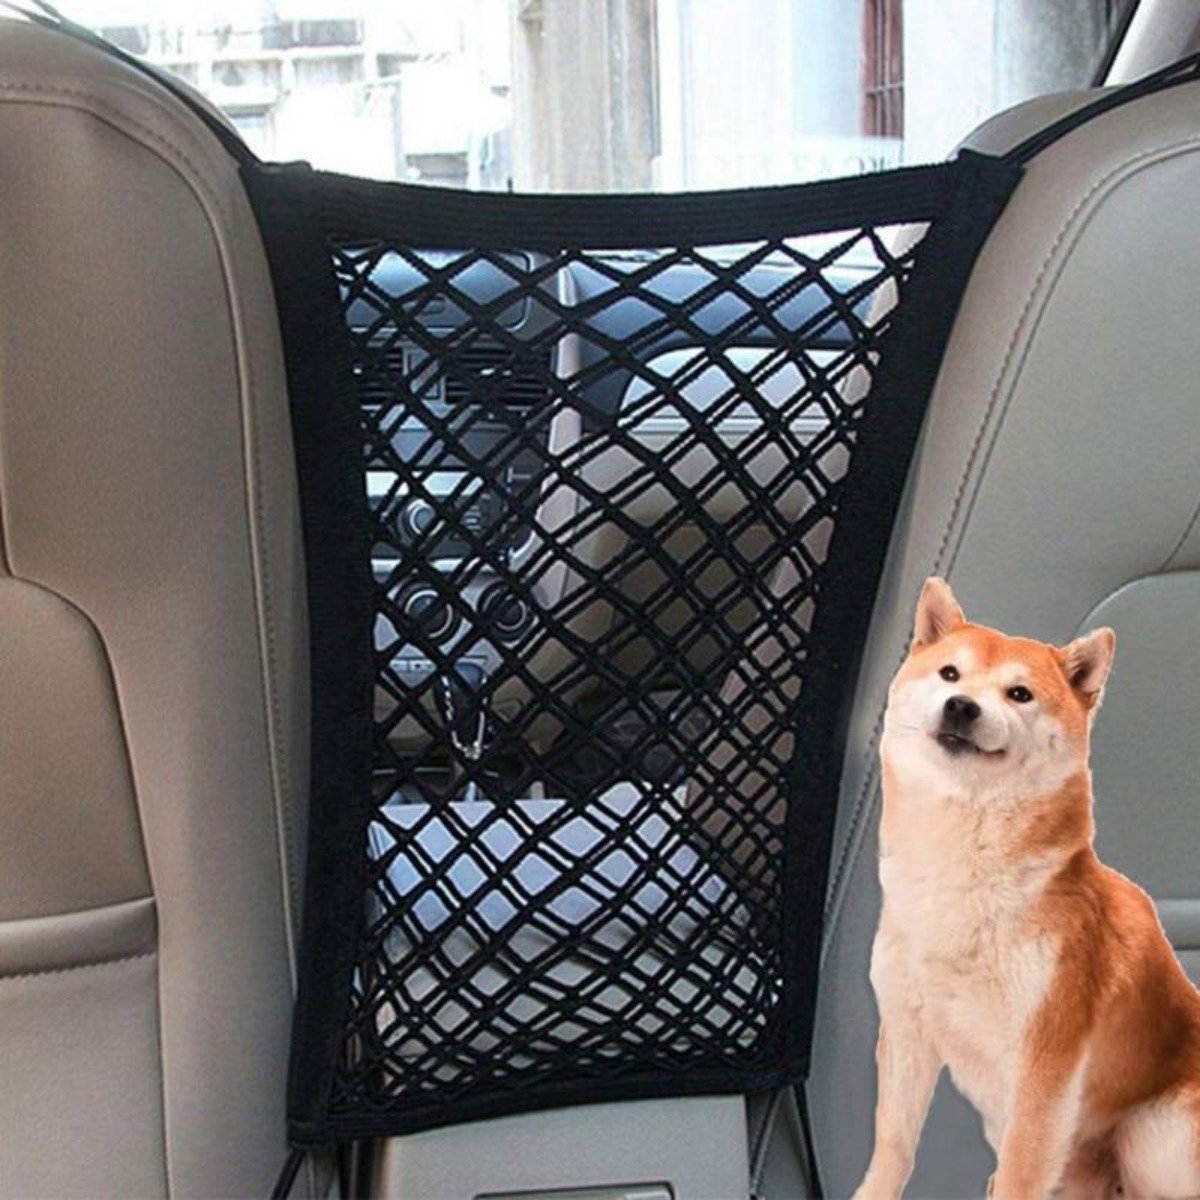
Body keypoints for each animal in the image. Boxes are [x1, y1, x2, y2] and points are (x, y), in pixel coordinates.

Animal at [854, 576, 1200, 1195]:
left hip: (1155, 1132)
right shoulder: (907, 1030)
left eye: (1020, 694)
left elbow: (1020, 1173)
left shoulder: (1046, 1067)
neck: (961, 879)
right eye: (949, 674)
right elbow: (892, 1147)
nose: (962, 706)